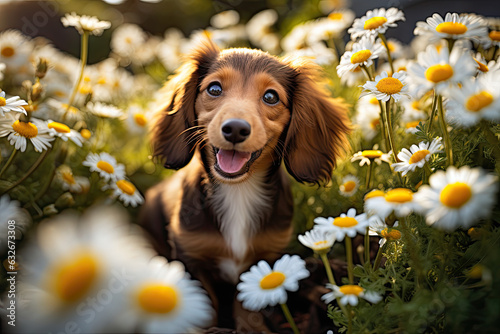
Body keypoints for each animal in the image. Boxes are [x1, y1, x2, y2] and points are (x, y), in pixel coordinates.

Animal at [139, 40, 350, 330]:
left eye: (271, 96)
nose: (236, 129)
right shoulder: (190, 256)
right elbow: (205, 309)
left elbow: (249, 312)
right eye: (214, 89)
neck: (238, 191)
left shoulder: (265, 257)